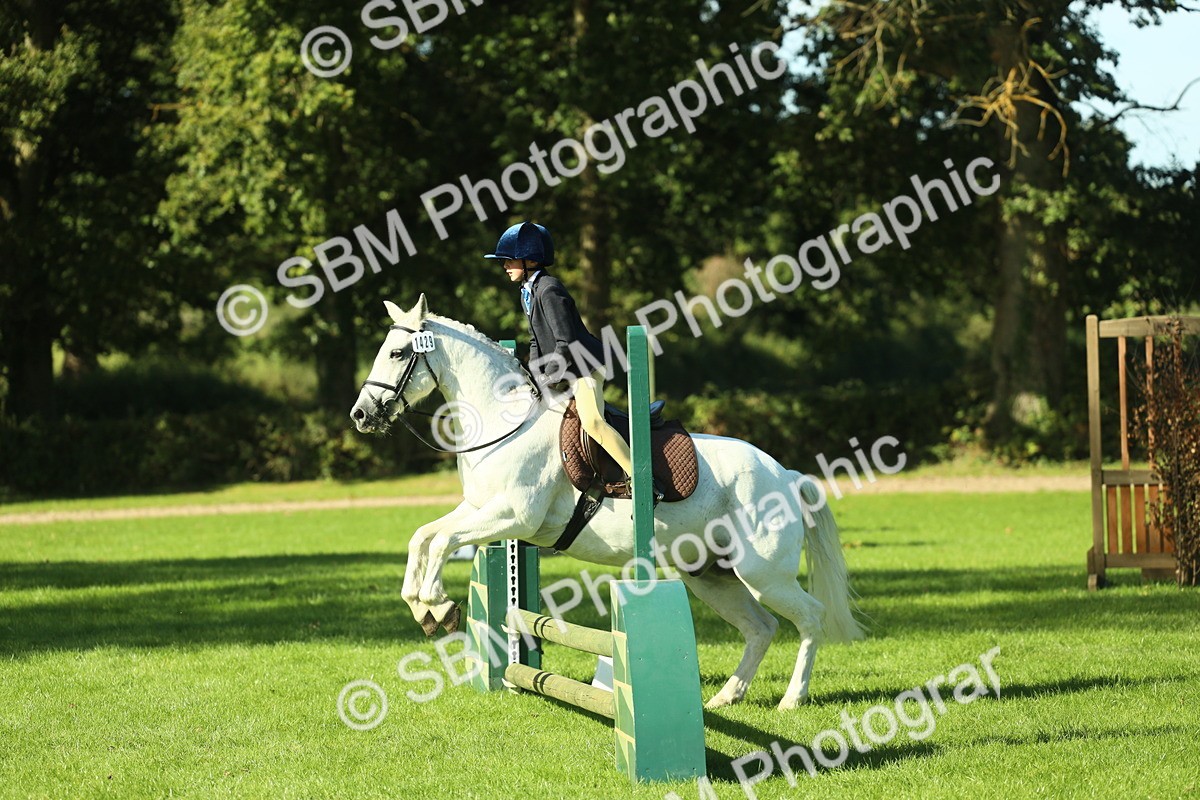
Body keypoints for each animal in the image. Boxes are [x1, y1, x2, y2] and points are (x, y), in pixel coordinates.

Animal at [350, 295, 864, 710]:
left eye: (397, 353)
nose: (361, 415)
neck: (504, 423)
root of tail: (786, 474)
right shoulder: (479, 511)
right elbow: (423, 538)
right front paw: (424, 608)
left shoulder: (511, 517)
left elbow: (439, 544)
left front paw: (438, 605)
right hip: (709, 576)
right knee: (760, 628)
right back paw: (726, 697)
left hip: (762, 573)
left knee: (810, 618)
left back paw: (791, 700)